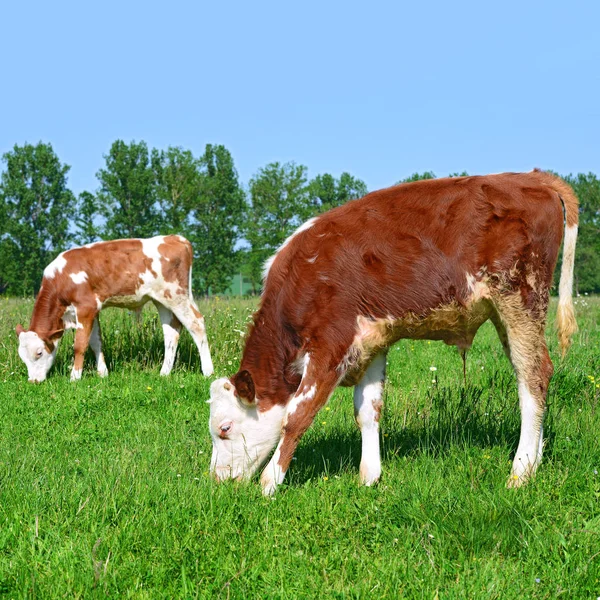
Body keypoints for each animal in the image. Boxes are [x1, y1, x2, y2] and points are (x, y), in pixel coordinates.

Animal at [15, 233, 216, 380]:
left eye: (39, 353)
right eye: (22, 357)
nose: (33, 381)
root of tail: (176, 238)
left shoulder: (85, 308)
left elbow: (80, 345)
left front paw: (75, 377)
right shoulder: (92, 311)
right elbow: (96, 342)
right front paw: (102, 373)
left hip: (177, 295)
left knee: (196, 324)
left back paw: (208, 371)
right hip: (162, 300)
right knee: (171, 332)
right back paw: (164, 373)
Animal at [209, 169, 580, 492]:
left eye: (224, 428)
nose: (216, 481)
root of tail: (530, 176)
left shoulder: (330, 346)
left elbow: (297, 415)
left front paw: (269, 485)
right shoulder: (372, 342)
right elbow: (367, 411)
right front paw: (369, 477)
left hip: (521, 297)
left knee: (533, 377)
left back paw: (521, 471)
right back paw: (534, 461)